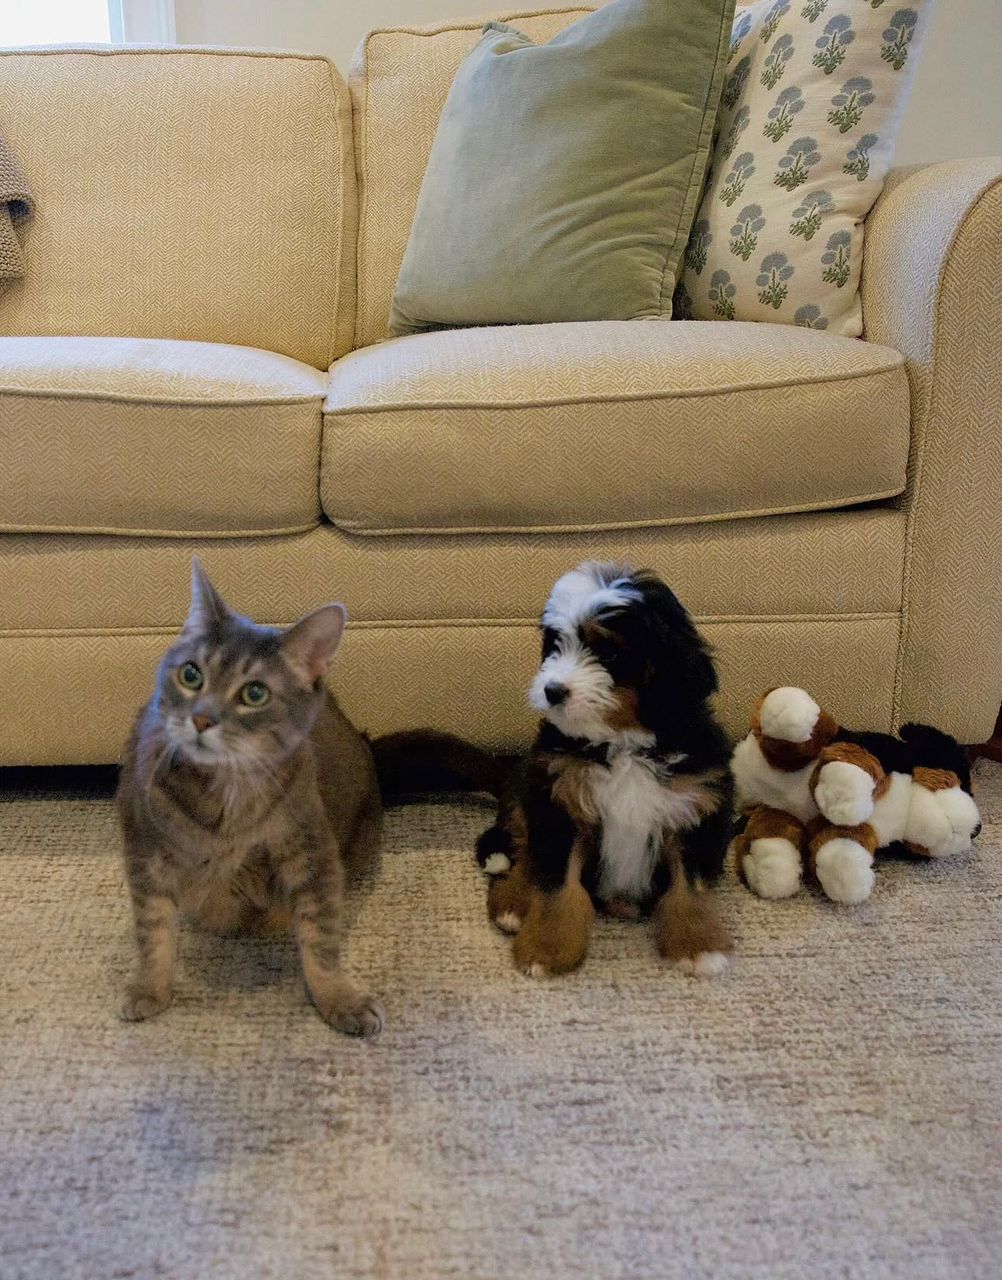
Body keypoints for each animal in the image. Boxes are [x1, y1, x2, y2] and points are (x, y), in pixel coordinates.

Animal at [117, 559, 383, 1036]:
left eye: (254, 693)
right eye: (191, 674)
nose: (201, 719)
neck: (228, 795)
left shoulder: (312, 849)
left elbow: (320, 939)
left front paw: (338, 998)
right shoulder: (145, 850)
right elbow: (153, 930)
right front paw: (150, 987)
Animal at [477, 562, 734, 978]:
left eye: (610, 652)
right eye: (555, 646)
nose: (552, 690)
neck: (623, 743)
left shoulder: (695, 803)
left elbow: (690, 886)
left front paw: (700, 945)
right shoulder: (560, 801)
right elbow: (557, 883)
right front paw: (545, 948)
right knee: (526, 850)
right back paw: (513, 903)